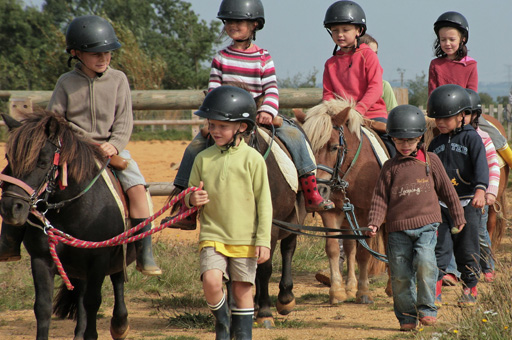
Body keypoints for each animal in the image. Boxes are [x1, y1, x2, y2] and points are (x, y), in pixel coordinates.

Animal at [298, 99, 386, 304]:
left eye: (333, 147)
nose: (320, 189)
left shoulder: (365, 214)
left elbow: (364, 253)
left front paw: (364, 292)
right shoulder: (332, 213)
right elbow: (333, 249)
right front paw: (337, 291)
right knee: (349, 247)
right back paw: (350, 286)